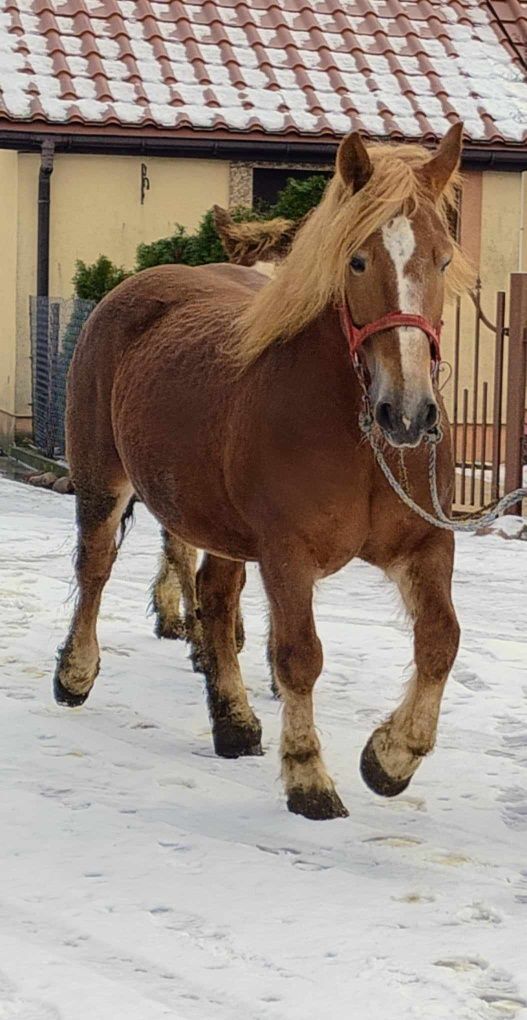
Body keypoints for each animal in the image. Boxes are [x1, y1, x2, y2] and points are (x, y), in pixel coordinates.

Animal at [56, 123, 472, 820]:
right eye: (357, 261)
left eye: (442, 260)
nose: (409, 415)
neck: (361, 439)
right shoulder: (286, 553)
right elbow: (300, 655)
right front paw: (309, 777)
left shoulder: (425, 544)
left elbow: (441, 639)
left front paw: (391, 757)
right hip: (102, 480)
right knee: (95, 568)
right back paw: (76, 675)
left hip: (217, 521)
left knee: (218, 599)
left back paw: (234, 721)